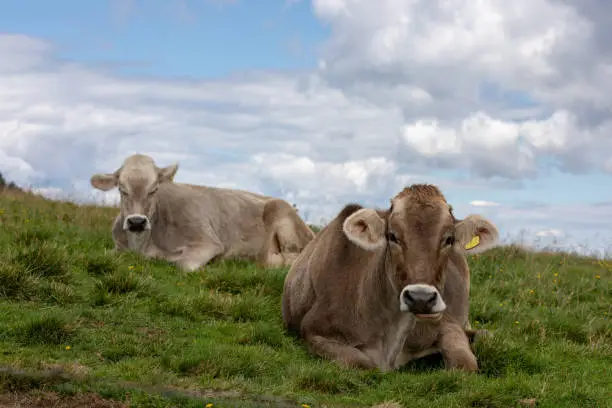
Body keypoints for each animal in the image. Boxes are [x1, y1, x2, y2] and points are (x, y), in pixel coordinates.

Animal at [91, 153, 316, 270]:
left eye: (154, 189)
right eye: (122, 189)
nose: (136, 222)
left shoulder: (207, 242)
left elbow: (182, 264)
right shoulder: (117, 247)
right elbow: (104, 253)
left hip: (282, 214)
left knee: (290, 259)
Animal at [282, 185, 498, 372]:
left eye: (449, 239)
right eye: (392, 236)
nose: (420, 298)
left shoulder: (447, 322)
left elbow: (466, 364)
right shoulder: (313, 330)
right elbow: (362, 363)